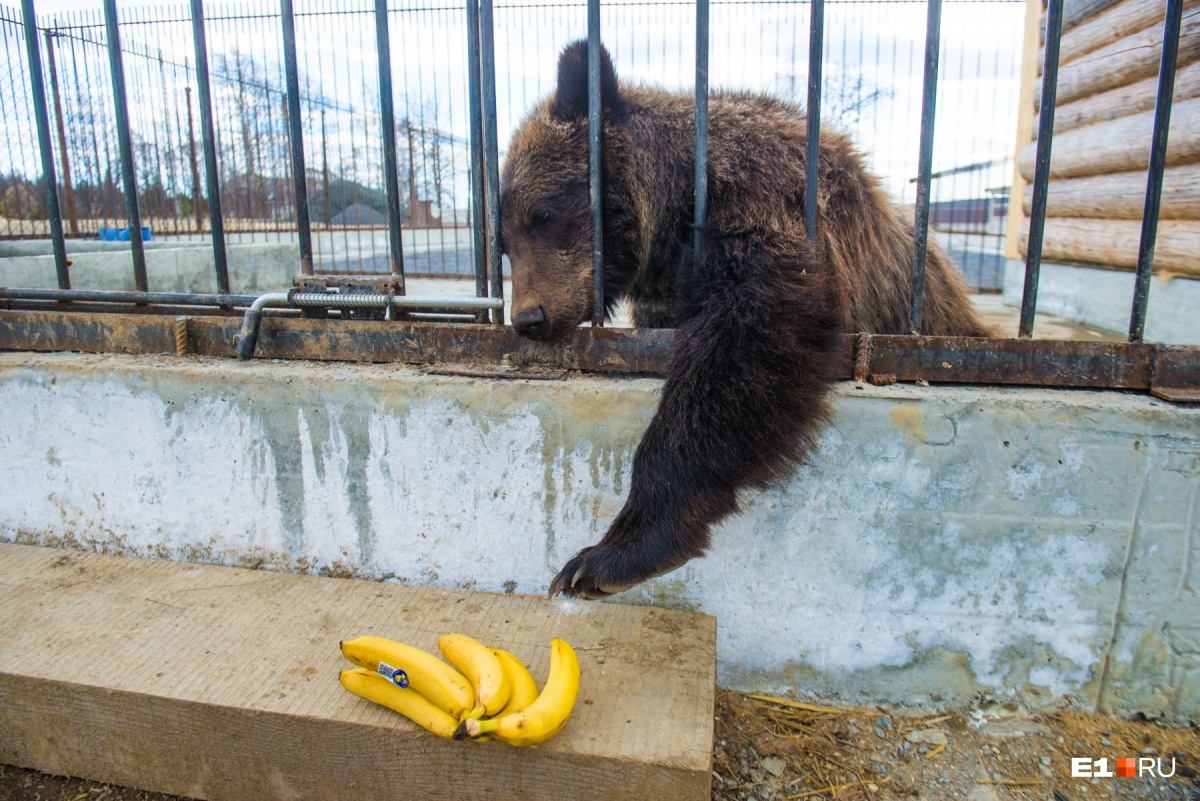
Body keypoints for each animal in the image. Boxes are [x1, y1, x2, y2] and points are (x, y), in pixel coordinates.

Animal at [501, 40, 988, 597]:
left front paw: (610, 554)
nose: (528, 317)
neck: (675, 210)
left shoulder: (761, 206)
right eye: (503, 241)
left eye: (543, 213)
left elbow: (737, 355)